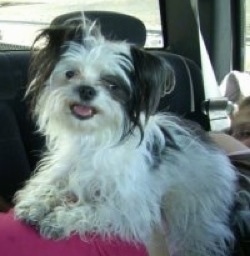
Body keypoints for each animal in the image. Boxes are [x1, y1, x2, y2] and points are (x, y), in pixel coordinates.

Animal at [13, 16, 244, 256]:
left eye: (112, 85)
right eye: (70, 74)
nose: (86, 90)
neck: (93, 137)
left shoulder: (130, 207)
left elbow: (95, 209)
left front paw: (59, 219)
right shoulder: (67, 167)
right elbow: (52, 182)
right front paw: (36, 202)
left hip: (195, 220)